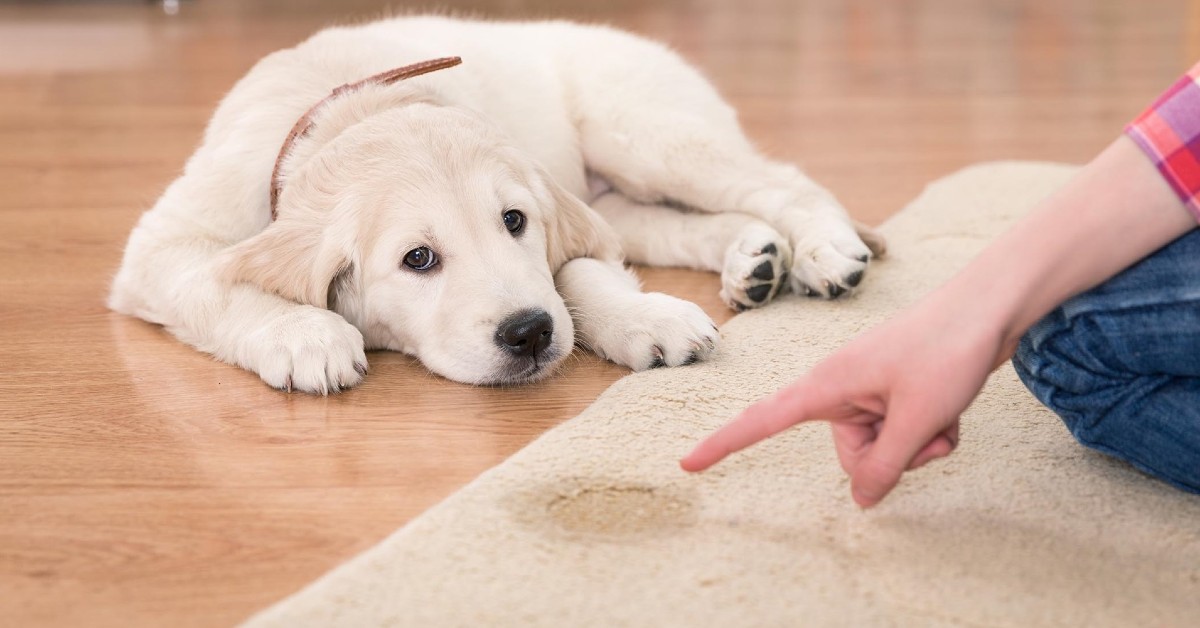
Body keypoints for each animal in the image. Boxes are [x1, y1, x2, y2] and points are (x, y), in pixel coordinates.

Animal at [110, 17, 883, 393]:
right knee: (676, 224)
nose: (530, 334)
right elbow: (215, 283)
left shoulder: (560, 215)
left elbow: (577, 272)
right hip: (622, 190)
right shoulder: (162, 246)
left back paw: (823, 252)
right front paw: (305, 336)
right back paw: (755, 259)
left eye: (514, 222)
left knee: (783, 181)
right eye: (418, 259)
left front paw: (644, 317)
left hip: (643, 133)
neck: (352, 107)